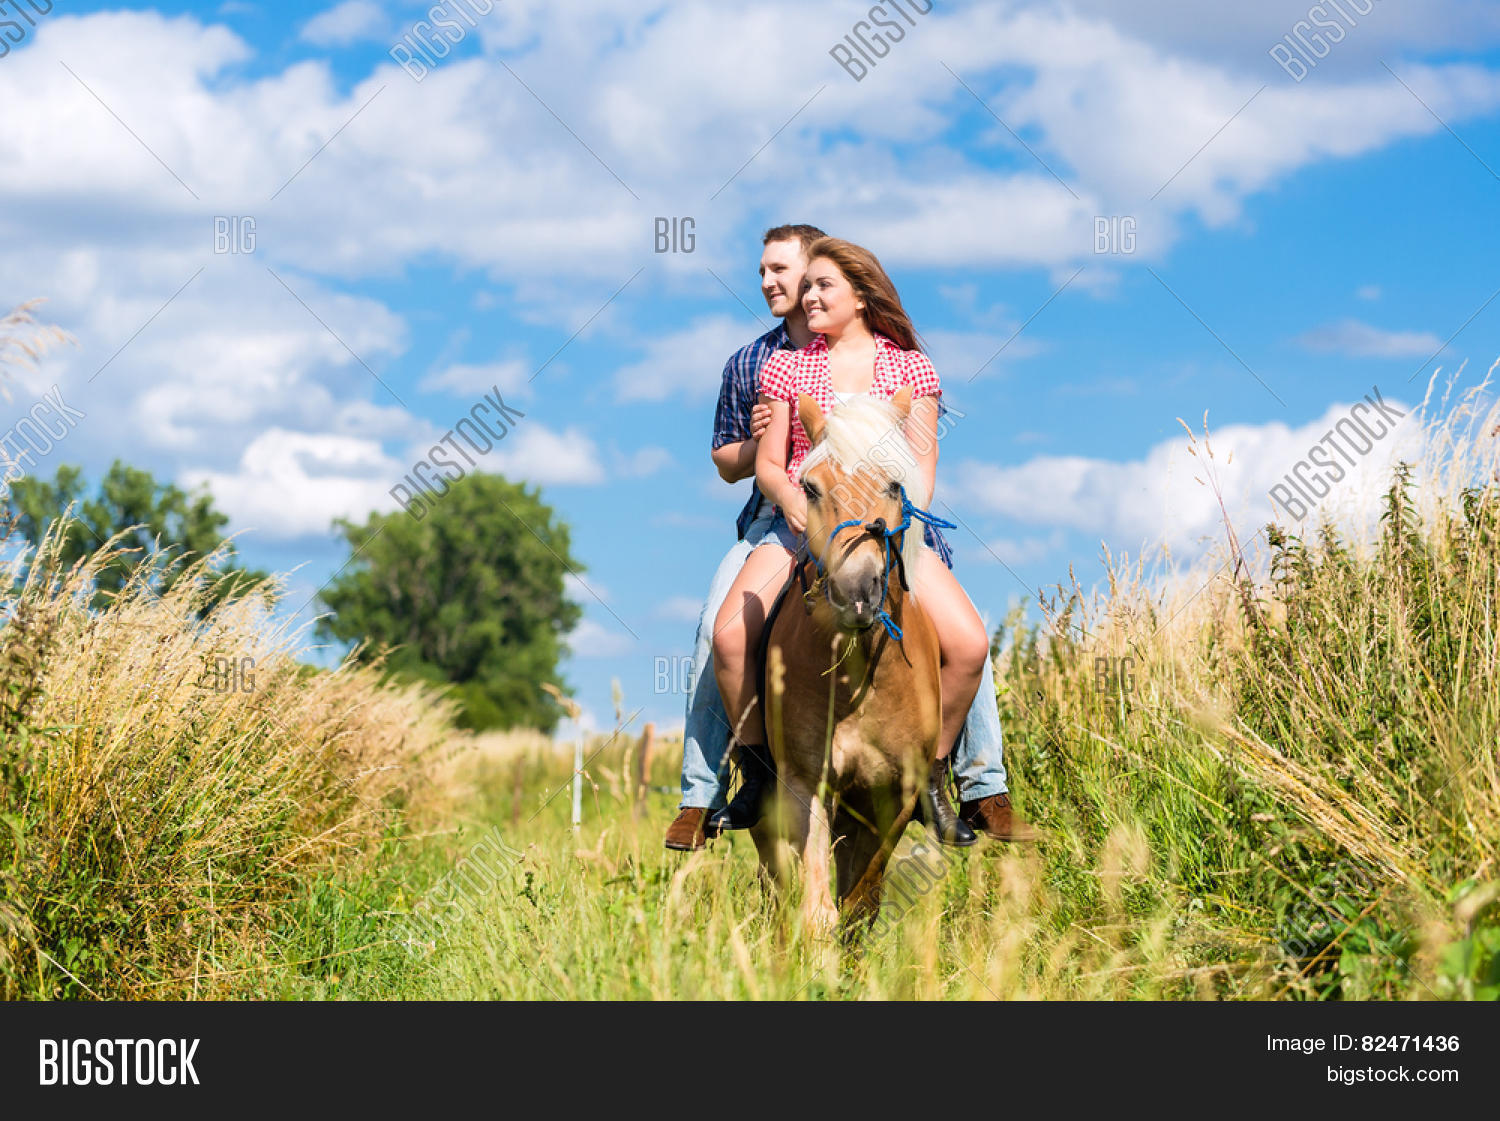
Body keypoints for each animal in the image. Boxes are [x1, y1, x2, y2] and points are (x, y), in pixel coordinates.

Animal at [749, 386, 948, 933]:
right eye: (810, 488)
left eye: (896, 485)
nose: (856, 592)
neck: (862, 679)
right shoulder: (806, 781)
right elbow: (816, 903)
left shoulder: (895, 796)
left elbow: (862, 900)